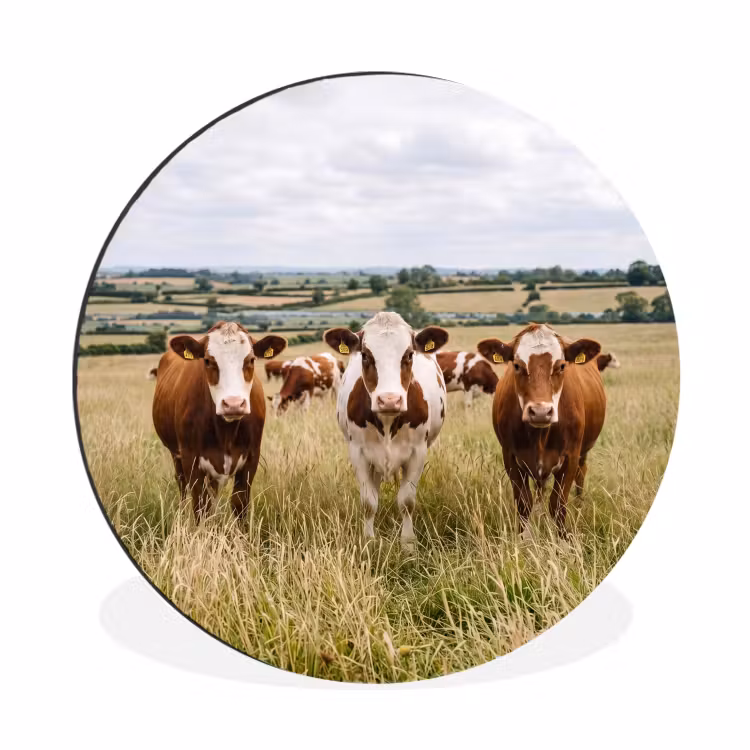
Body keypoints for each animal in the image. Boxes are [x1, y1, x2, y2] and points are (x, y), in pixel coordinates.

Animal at [152, 321, 287, 521]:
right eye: (208, 361)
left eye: (251, 360)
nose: (233, 404)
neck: (226, 432)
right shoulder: (191, 459)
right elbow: (201, 507)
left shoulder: (251, 458)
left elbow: (239, 504)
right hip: (176, 454)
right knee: (182, 484)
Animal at [324, 312, 449, 550]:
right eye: (365, 355)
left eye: (409, 354)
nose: (389, 400)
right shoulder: (358, 452)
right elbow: (368, 502)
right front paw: (369, 541)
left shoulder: (418, 452)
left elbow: (407, 501)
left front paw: (408, 544)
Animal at [477, 323, 606, 538]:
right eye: (517, 365)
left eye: (561, 366)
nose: (540, 412)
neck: (539, 436)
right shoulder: (510, 457)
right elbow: (523, 503)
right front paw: (524, 538)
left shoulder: (571, 457)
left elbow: (558, 504)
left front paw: (563, 539)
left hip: (583, 452)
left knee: (581, 473)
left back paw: (580, 505)